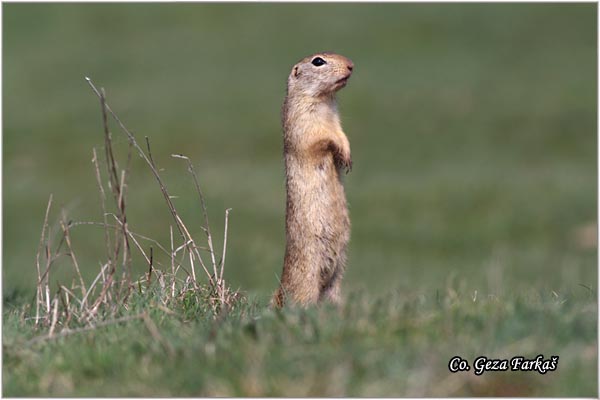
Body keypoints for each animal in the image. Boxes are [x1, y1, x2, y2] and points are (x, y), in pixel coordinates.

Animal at [274, 51, 354, 308]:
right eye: (318, 61)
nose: (351, 65)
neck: (325, 101)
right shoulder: (303, 121)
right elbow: (320, 139)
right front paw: (342, 151)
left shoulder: (336, 121)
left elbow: (341, 134)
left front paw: (347, 157)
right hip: (307, 279)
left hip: (337, 277)